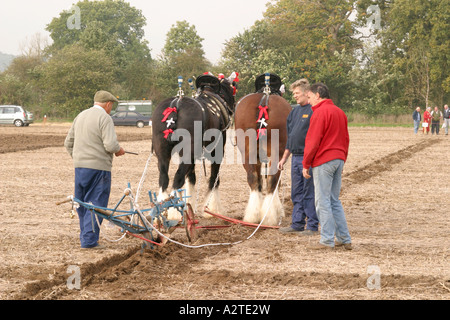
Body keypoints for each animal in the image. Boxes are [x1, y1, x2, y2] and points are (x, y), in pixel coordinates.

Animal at [152, 73, 237, 218]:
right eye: (233, 89)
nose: (233, 107)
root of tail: (175, 105)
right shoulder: (217, 151)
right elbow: (214, 179)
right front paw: (212, 209)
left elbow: (191, 179)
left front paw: (189, 204)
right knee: (177, 179)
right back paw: (174, 213)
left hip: (163, 153)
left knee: (164, 179)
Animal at [232, 74, 292, 226]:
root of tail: (264, 101)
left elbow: (259, 179)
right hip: (277, 152)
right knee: (272, 179)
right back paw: (269, 216)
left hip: (248, 151)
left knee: (253, 177)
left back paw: (252, 215)